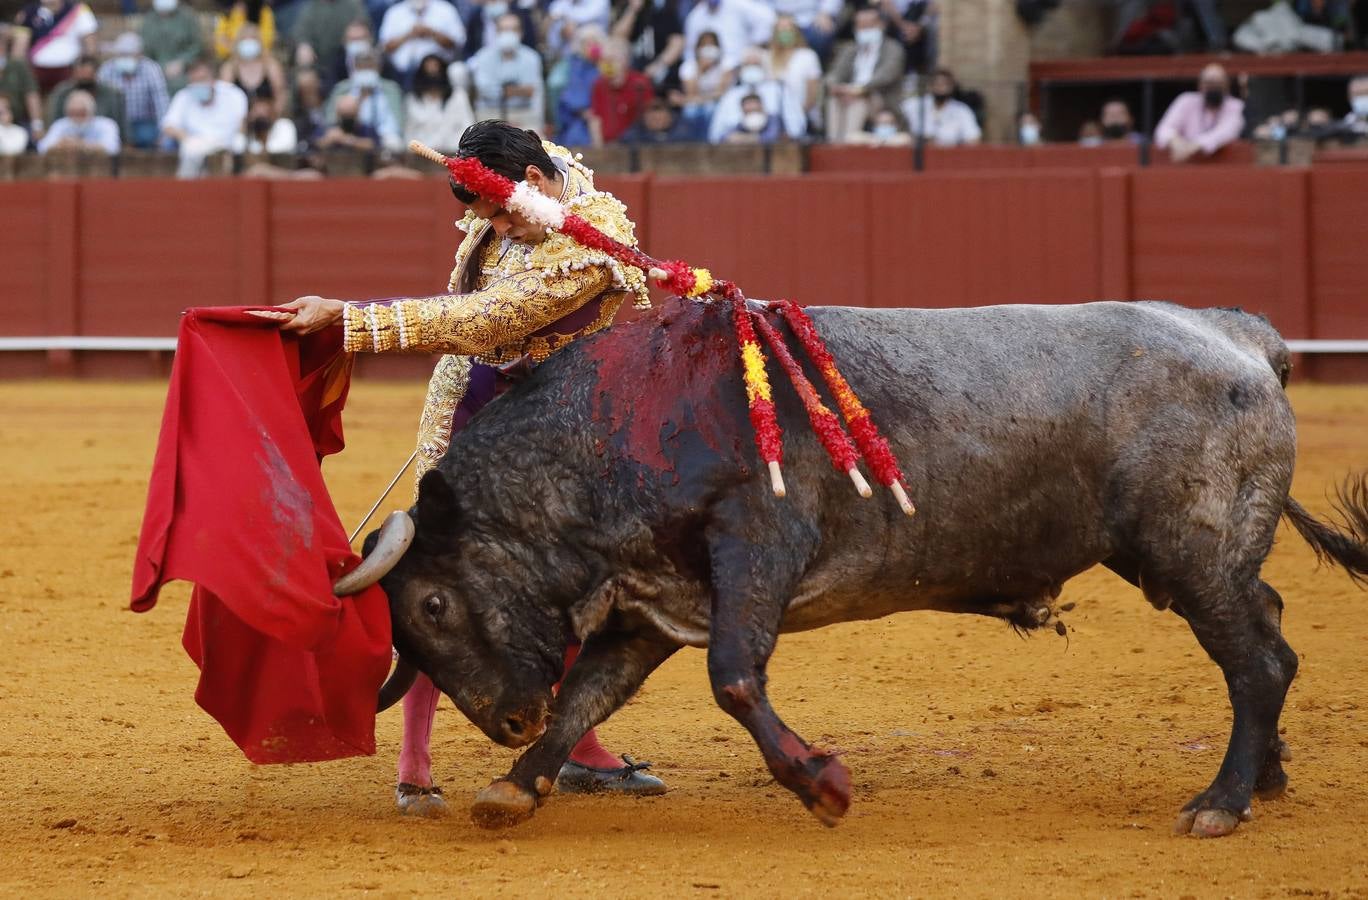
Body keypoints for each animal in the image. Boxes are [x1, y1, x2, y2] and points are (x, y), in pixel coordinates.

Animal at [336, 299, 1362, 831]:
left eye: (432, 605)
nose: (506, 721)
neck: (616, 429)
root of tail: (1242, 337)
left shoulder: (757, 547)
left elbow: (734, 679)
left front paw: (822, 785)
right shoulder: (654, 601)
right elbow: (592, 693)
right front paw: (515, 785)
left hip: (1191, 554)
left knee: (1256, 661)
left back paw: (1221, 802)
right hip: (1207, 560)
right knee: (1269, 636)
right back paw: (1265, 778)